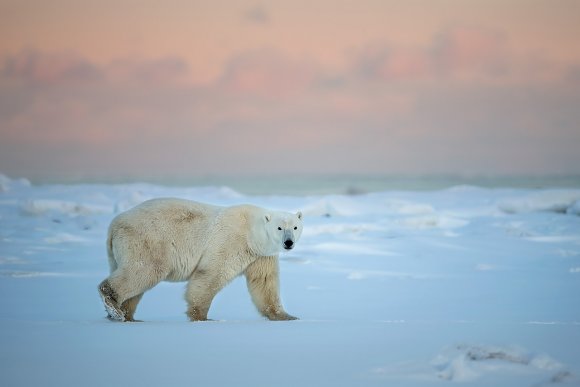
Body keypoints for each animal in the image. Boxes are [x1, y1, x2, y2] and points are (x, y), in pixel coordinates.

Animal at [98, 199, 304, 322]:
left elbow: (264, 283)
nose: (288, 242)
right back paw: (114, 307)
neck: (251, 231)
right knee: (145, 270)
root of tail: (113, 225)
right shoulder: (230, 240)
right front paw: (202, 317)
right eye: (279, 228)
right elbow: (210, 274)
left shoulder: (261, 255)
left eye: (295, 227)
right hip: (147, 241)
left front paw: (287, 316)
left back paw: (128, 316)